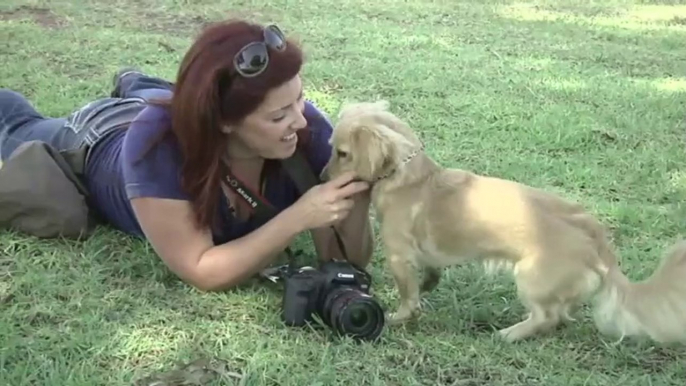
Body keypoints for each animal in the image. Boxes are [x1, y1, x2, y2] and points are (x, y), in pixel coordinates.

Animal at [322, 100, 686, 344]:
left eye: (342, 153)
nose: (323, 178)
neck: (410, 176)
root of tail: (594, 235)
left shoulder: (399, 256)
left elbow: (407, 295)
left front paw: (400, 315)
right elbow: (429, 275)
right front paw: (427, 286)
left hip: (530, 277)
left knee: (546, 316)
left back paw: (509, 334)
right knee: (560, 315)